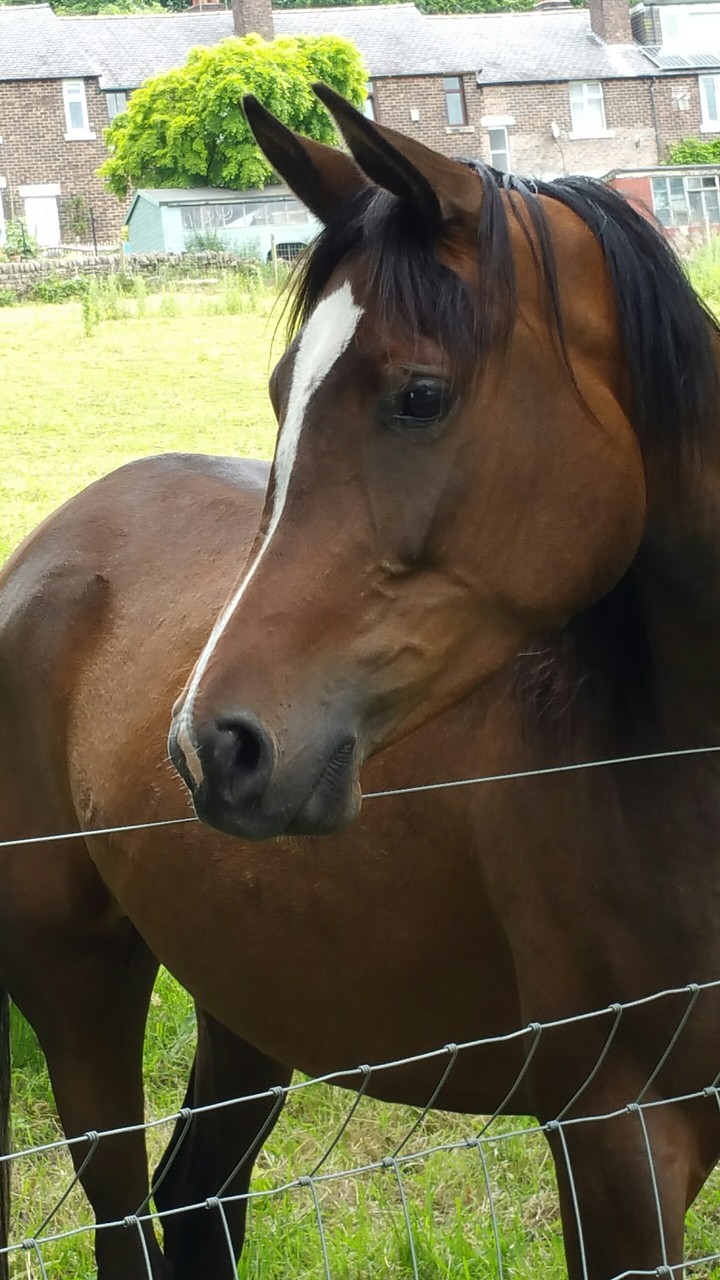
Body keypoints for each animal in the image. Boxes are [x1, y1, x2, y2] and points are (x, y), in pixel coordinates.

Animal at [2, 83, 720, 1280]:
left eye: (420, 395)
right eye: (280, 390)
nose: (212, 745)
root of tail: (44, 553)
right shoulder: (614, 1137)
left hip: (247, 1004)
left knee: (197, 1200)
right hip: (77, 990)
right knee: (127, 1217)